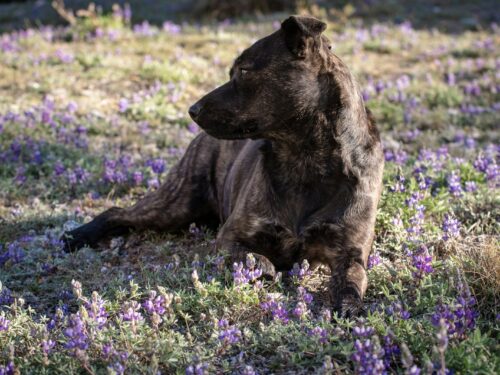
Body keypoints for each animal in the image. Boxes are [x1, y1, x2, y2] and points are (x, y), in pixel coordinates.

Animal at [61, 15, 382, 318]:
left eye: (244, 71)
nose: (192, 110)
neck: (304, 159)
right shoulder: (231, 236)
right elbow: (255, 258)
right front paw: (262, 271)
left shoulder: (350, 251)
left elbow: (352, 280)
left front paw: (349, 305)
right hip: (175, 205)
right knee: (118, 212)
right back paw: (77, 236)